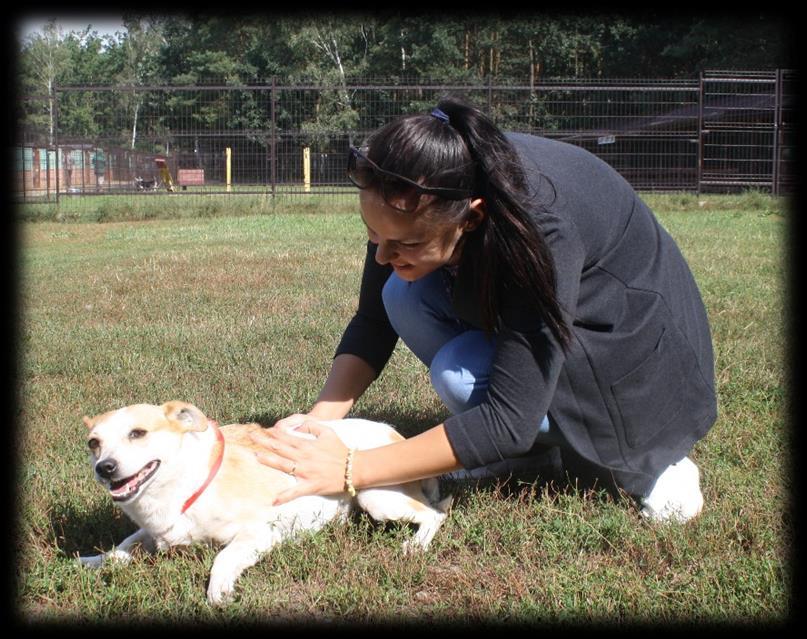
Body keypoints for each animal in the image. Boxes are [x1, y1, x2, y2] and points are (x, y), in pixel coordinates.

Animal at [79, 402, 454, 608]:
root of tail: (394, 434)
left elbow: (222, 557)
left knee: (436, 513)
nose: (105, 468)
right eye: (93, 443)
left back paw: (416, 545)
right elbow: (123, 546)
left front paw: (218, 591)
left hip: (377, 497)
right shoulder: (153, 531)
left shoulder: (259, 532)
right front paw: (91, 561)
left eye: (137, 433)